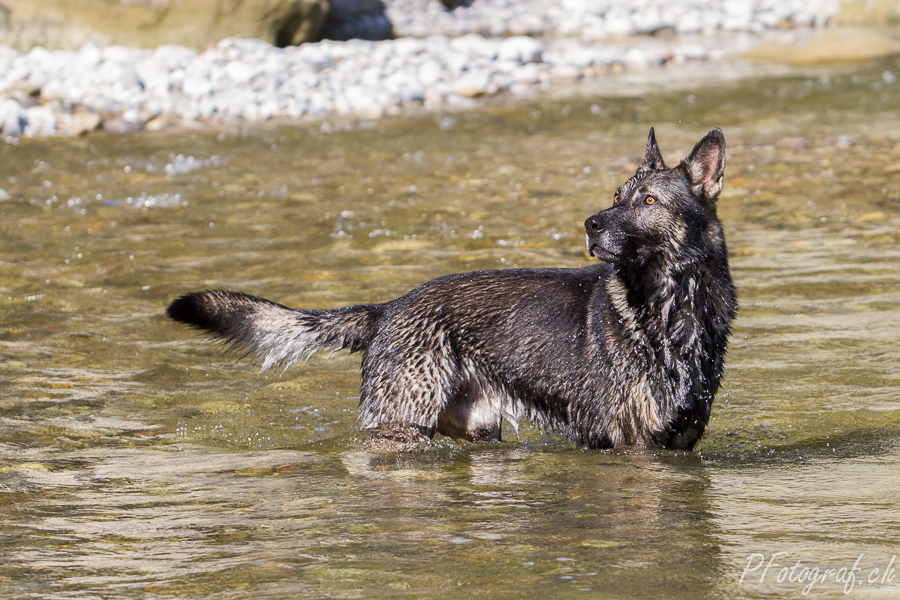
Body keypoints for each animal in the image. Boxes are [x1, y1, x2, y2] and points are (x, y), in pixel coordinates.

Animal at [169, 129, 740, 452]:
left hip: (475, 430)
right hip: (403, 426)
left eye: (648, 201)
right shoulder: (636, 445)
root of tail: (387, 309)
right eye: (616, 197)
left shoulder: (680, 445)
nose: (590, 224)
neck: (671, 307)